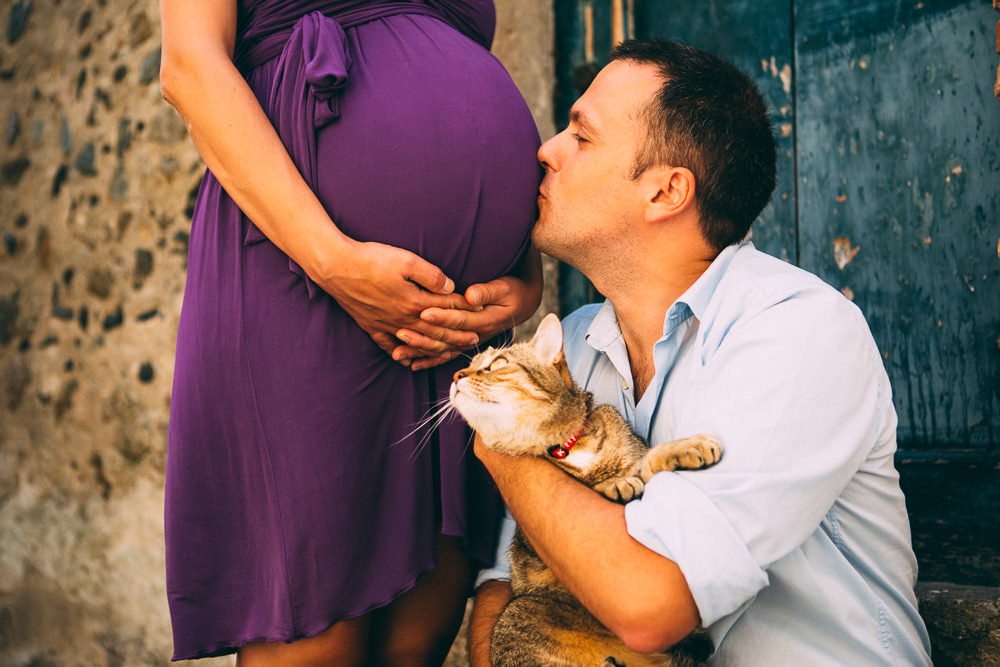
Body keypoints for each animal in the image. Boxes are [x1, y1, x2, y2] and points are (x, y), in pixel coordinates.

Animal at [452, 314, 720, 667]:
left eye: (497, 363)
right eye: (470, 366)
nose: (455, 375)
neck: (567, 447)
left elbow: (647, 461)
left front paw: (686, 447)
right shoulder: (533, 546)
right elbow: (603, 484)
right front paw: (615, 483)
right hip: (521, 611)